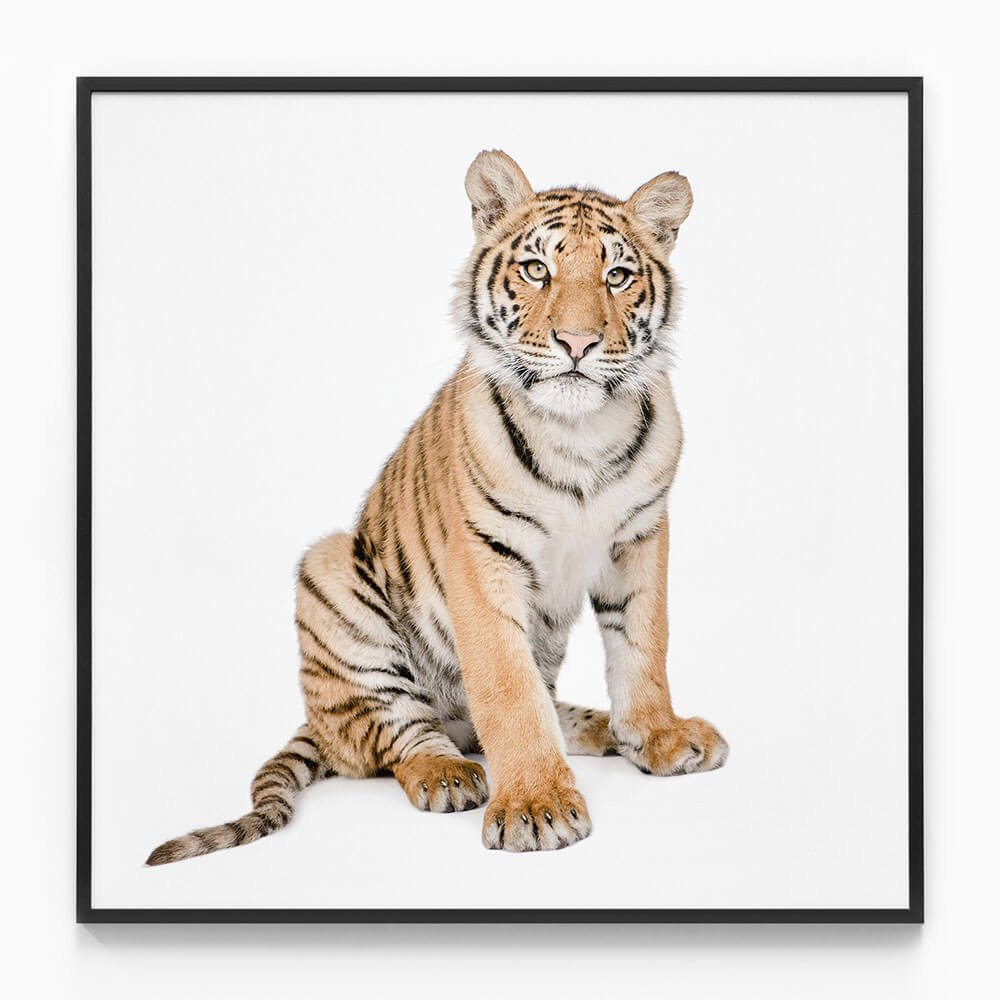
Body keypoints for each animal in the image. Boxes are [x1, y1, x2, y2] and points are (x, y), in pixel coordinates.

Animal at [146, 149, 728, 863]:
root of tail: (314, 720)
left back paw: (594, 727)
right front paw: (536, 805)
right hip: (331, 574)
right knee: (395, 737)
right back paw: (448, 773)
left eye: (617, 276)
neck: (579, 432)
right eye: (538, 269)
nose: (577, 343)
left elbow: (644, 647)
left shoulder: (640, 538)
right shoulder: (482, 556)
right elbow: (506, 689)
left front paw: (659, 737)